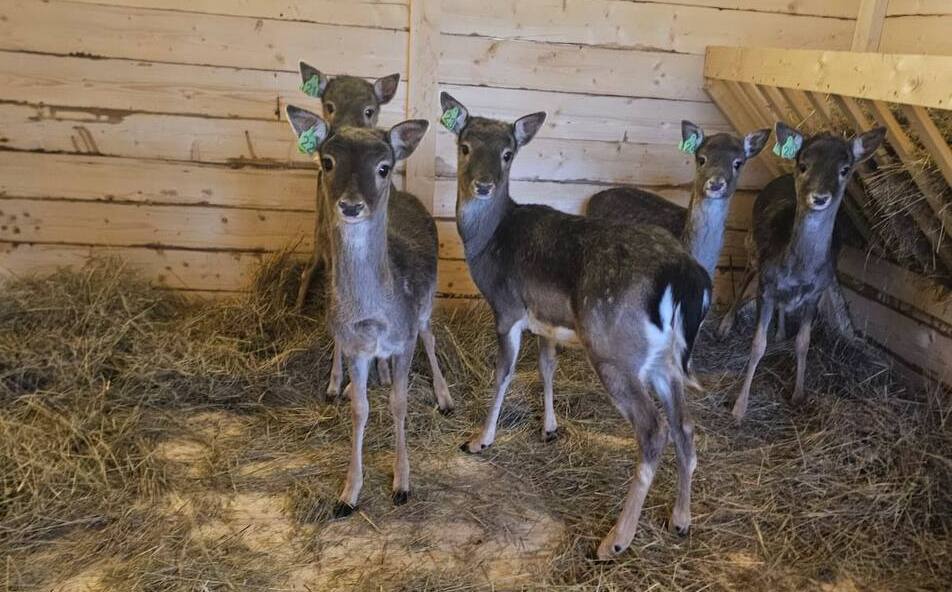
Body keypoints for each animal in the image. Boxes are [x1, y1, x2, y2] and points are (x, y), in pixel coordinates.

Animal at [286, 105, 454, 512]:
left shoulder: (404, 338)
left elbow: (399, 402)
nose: (350, 205)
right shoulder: (354, 346)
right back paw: (354, 381)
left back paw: (444, 397)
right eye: (328, 161)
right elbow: (361, 409)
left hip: (426, 303)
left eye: (383, 166)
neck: (375, 317)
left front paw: (402, 484)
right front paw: (349, 493)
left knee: (430, 336)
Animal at [442, 92, 712, 560]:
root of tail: (684, 274)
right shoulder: (547, 322)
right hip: (665, 361)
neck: (488, 244)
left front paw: (479, 440)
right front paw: (549, 428)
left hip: (614, 351)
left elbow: (503, 374)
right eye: (465, 146)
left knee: (654, 429)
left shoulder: (508, 308)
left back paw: (615, 540)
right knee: (685, 426)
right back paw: (680, 519)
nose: (484, 184)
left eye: (508, 154)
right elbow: (547, 369)